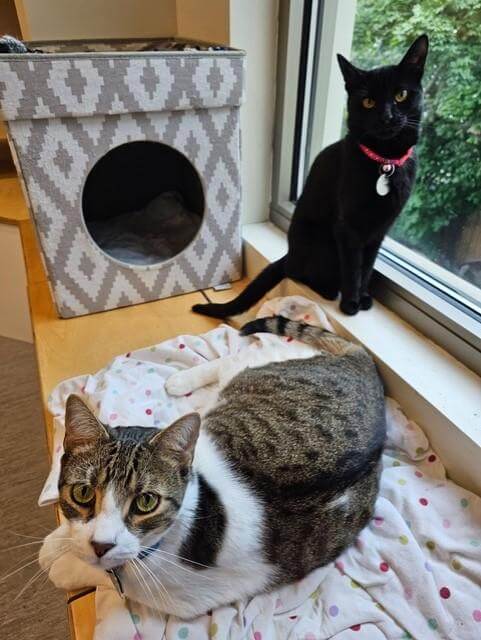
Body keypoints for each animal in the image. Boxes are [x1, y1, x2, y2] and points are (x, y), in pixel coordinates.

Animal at [40, 318, 385, 618]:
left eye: (145, 502)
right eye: (84, 493)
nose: (101, 544)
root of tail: (364, 366)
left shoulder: (182, 597)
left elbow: (97, 573)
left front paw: (61, 563)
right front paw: (60, 543)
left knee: (246, 355)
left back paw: (179, 380)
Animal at [193, 35, 428, 318]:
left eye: (401, 95)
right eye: (368, 102)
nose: (387, 117)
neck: (385, 161)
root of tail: (289, 254)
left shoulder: (379, 231)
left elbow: (367, 268)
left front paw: (362, 296)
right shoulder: (347, 228)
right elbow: (353, 268)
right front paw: (351, 303)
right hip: (321, 242)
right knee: (298, 273)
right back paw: (328, 291)